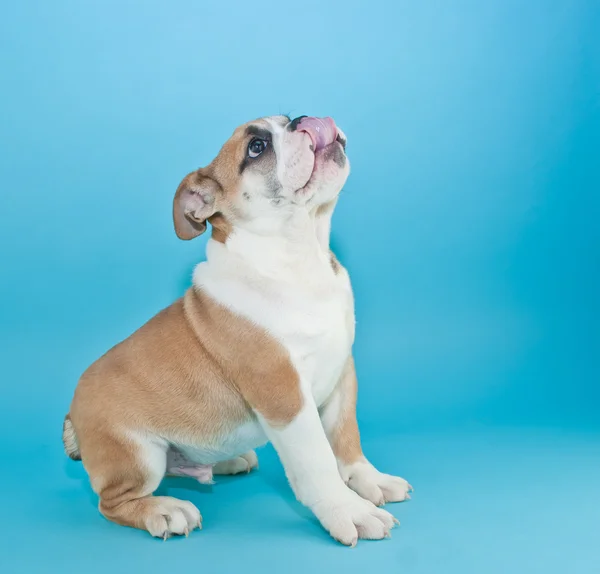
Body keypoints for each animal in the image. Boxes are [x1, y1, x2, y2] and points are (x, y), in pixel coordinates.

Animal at [64, 115, 412, 548]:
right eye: (256, 148)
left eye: (286, 120)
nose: (303, 120)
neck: (299, 258)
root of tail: (72, 415)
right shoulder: (283, 394)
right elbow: (317, 458)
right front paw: (348, 510)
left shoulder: (342, 374)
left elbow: (346, 437)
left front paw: (369, 480)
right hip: (137, 455)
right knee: (112, 502)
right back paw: (163, 510)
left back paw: (226, 459)